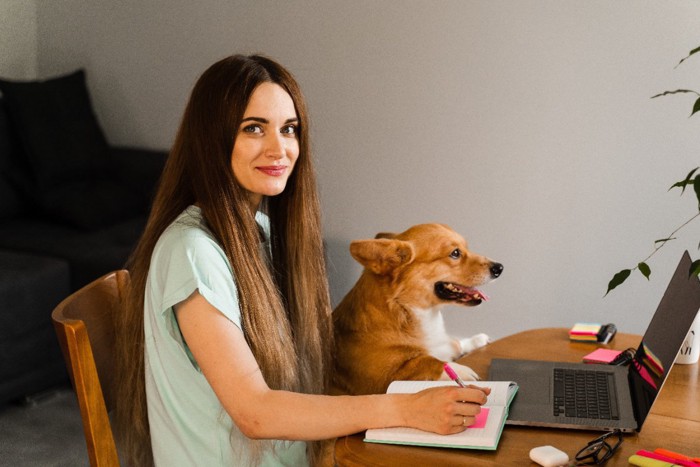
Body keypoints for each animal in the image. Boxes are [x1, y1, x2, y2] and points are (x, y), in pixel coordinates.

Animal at [330, 223, 500, 394]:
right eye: (455, 253)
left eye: (466, 248)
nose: (500, 268)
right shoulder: (382, 379)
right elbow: (425, 360)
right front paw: (461, 370)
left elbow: (456, 344)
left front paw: (476, 340)